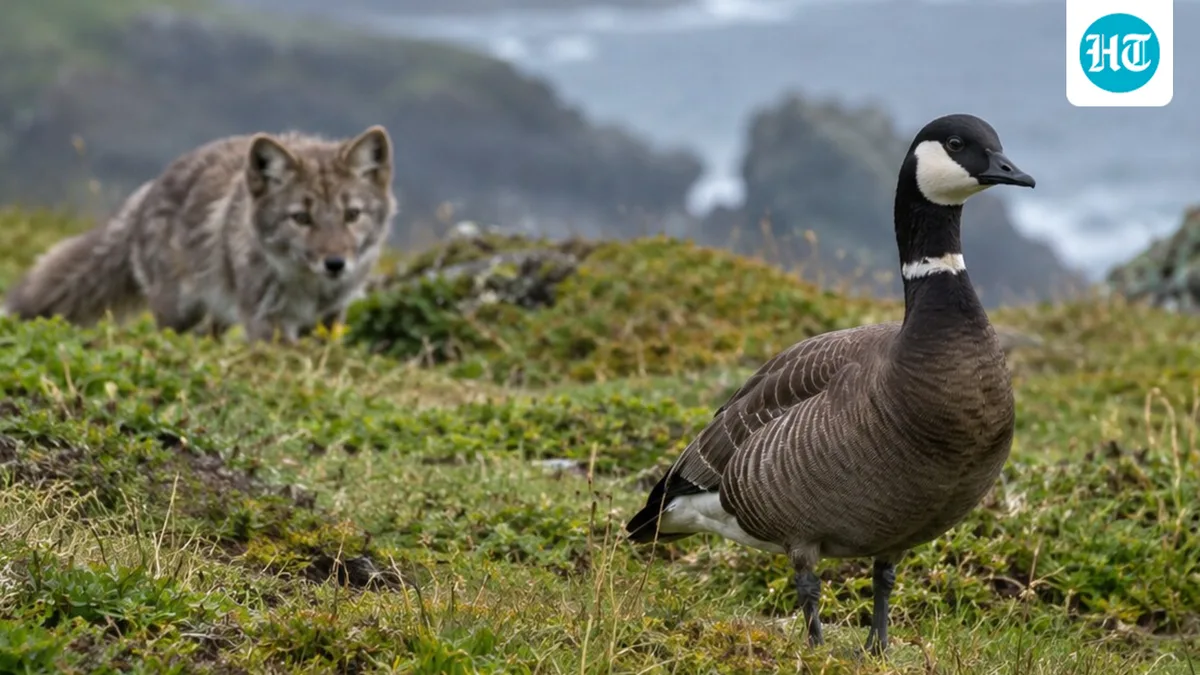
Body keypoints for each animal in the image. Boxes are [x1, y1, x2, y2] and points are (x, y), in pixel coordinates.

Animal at [3, 125, 398, 343]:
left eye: (352, 215)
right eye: (300, 218)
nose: (336, 264)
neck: (310, 292)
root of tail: (147, 192)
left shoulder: (329, 320)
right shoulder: (267, 324)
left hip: (219, 312)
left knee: (211, 333)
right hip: (179, 312)